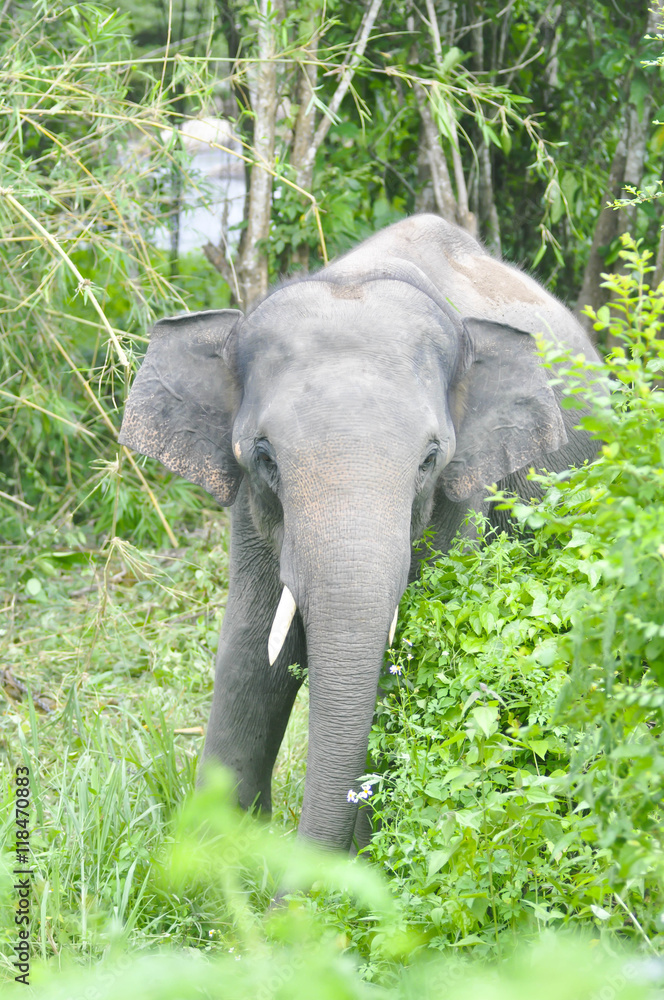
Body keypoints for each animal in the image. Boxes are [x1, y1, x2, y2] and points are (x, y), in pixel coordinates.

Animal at [119, 214, 599, 853]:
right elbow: (251, 650)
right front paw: (206, 864)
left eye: (429, 460)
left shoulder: (463, 494)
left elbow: (410, 660)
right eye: (264, 456)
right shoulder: (249, 505)